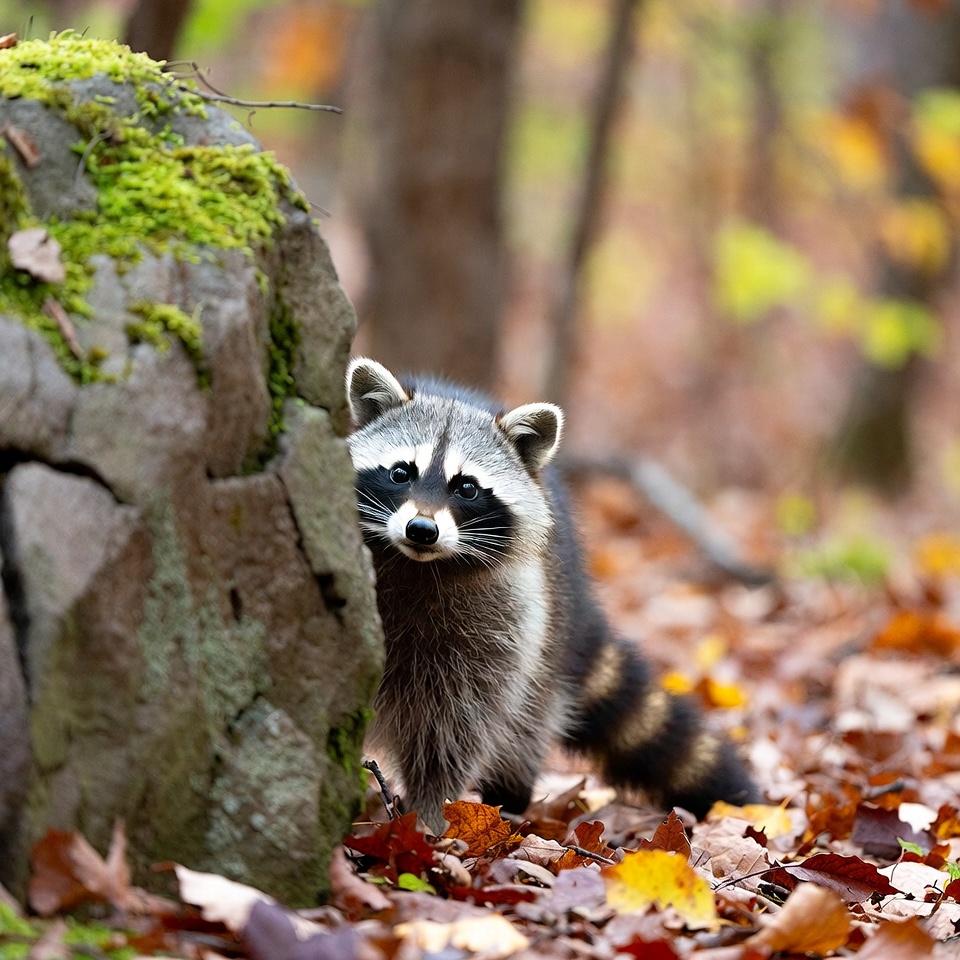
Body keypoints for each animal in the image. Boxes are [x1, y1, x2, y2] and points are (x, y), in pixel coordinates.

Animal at [346, 358, 756, 834]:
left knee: (525, 723)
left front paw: (430, 815)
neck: (418, 565)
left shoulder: (499, 627)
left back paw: (509, 799)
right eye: (400, 472)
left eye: (467, 487)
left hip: (545, 638)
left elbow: (452, 730)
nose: (421, 529)